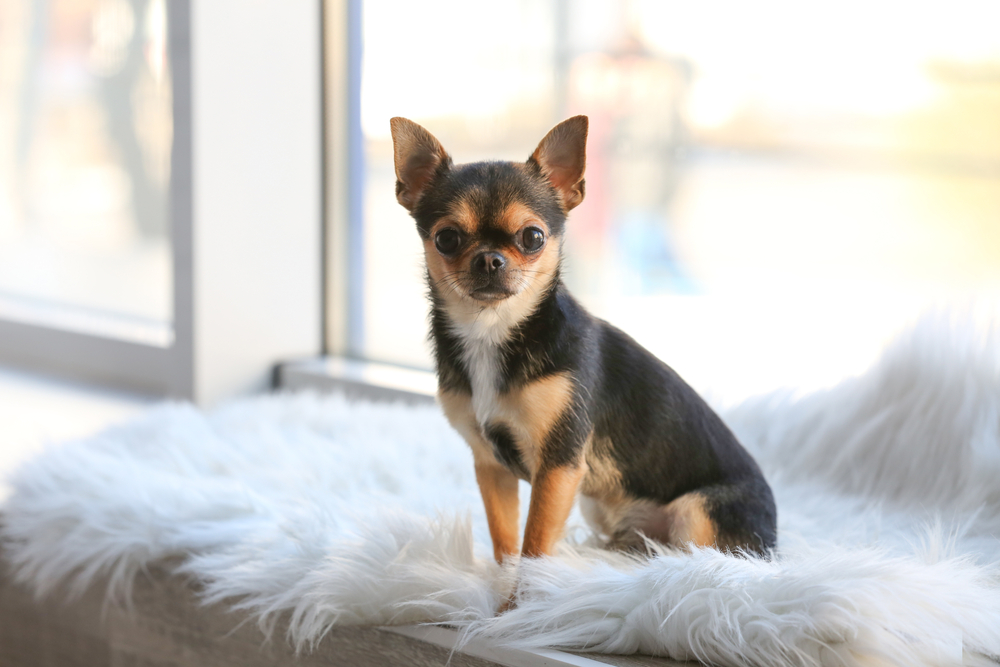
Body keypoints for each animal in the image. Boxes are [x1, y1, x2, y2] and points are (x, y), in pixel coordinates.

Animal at [388, 117, 772, 568]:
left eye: (533, 237)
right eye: (446, 238)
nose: (489, 259)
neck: (493, 333)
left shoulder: (559, 466)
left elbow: (534, 545)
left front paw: (528, 589)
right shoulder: (491, 466)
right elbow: (505, 543)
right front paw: (499, 587)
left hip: (696, 514)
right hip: (599, 507)